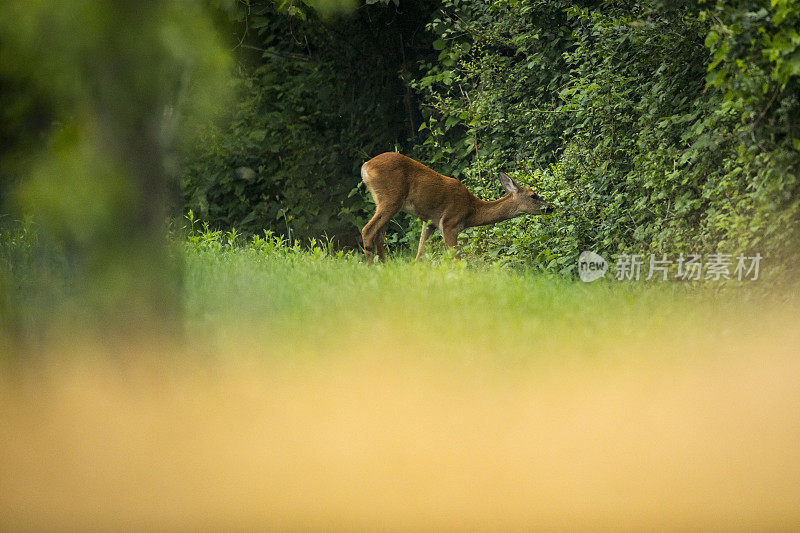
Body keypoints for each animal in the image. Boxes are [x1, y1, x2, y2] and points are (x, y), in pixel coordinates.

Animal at [360, 152, 552, 262]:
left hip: (382, 201)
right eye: (533, 195)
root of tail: (365, 167)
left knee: (379, 235)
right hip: (391, 199)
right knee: (368, 230)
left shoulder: (430, 223)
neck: (471, 210)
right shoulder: (450, 223)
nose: (550, 207)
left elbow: (419, 255)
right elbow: (458, 260)